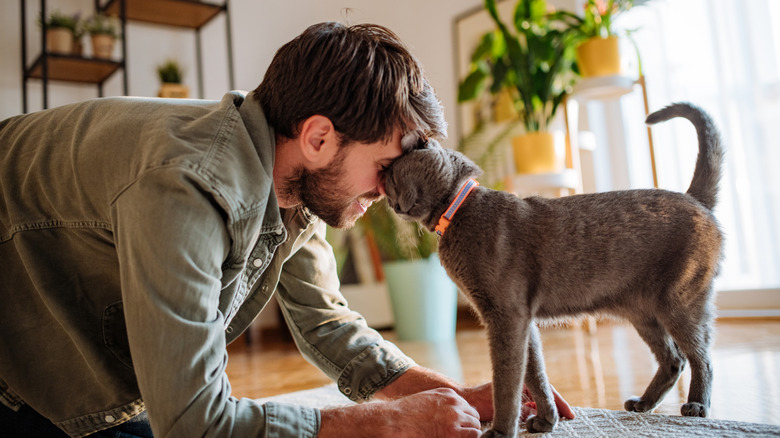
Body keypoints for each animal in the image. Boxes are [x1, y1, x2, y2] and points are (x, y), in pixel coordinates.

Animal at [384, 103, 724, 438]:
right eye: (386, 189)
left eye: (392, 180)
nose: (390, 204)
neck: (457, 211)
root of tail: (694, 198)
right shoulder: (523, 319)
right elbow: (534, 373)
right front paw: (547, 420)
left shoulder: (506, 316)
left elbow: (507, 381)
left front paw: (500, 431)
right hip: (642, 312)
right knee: (674, 360)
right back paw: (643, 403)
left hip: (679, 302)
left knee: (701, 356)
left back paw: (696, 406)